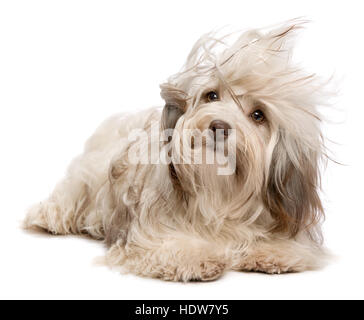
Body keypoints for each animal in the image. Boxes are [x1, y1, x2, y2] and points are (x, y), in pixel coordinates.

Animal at [22, 21, 330, 282]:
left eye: (258, 115)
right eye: (211, 95)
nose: (219, 125)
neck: (218, 191)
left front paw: (273, 251)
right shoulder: (152, 233)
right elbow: (171, 246)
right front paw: (196, 257)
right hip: (87, 178)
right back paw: (49, 217)